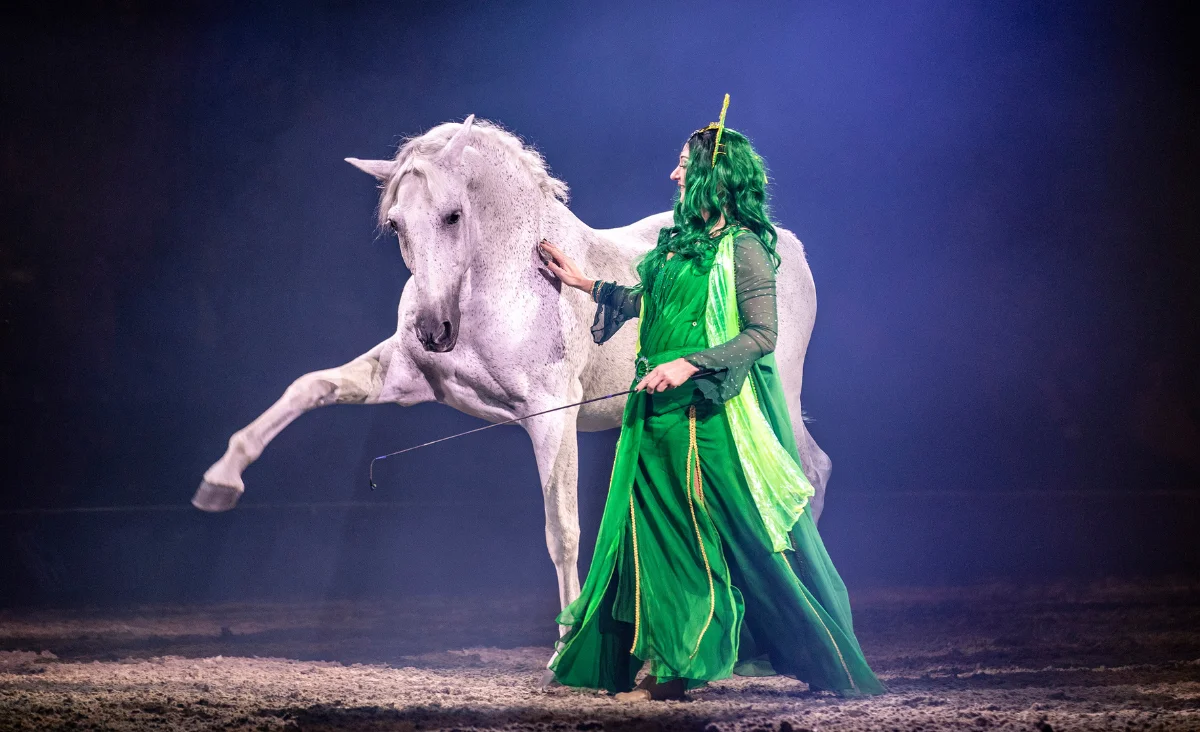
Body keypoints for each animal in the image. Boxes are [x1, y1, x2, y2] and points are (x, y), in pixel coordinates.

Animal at [192, 115, 832, 614]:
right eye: (396, 223)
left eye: (453, 216)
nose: (434, 330)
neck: (495, 289)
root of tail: (782, 243)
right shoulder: (402, 378)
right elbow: (308, 387)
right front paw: (220, 481)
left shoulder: (551, 416)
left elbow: (563, 529)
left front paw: (568, 634)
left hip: (772, 391)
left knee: (806, 469)